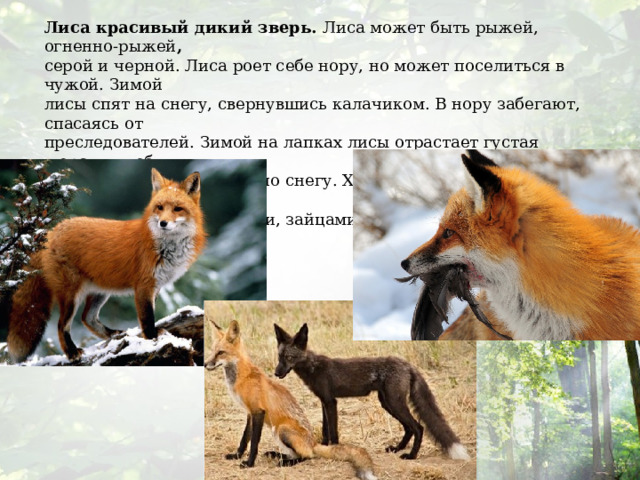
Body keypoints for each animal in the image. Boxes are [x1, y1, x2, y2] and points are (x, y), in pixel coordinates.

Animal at [7, 168, 206, 362]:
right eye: (160, 207)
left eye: (178, 209)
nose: (163, 223)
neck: (166, 247)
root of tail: (51, 231)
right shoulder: (144, 285)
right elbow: (147, 318)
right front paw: (152, 341)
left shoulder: (156, 286)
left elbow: (150, 316)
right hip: (71, 295)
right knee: (61, 325)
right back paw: (72, 352)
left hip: (100, 292)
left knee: (87, 318)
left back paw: (113, 335)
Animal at [205, 320, 377, 480]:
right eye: (212, 351)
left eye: (221, 353)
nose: (206, 364)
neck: (242, 378)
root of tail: (314, 443)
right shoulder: (249, 413)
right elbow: (244, 439)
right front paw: (237, 455)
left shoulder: (258, 412)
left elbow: (253, 442)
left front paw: (249, 463)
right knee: (294, 453)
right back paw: (277, 455)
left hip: (281, 429)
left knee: (306, 456)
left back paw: (285, 462)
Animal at [274, 323, 470, 461]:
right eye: (279, 357)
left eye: (289, 358)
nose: (276, 373)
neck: (313, 368)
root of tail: (408, 365)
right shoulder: (324, 401)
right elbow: (325, 430)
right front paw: (322, 448)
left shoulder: (331, 402)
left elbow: (334, 432)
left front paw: (335, 451)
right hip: (387, 403)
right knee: (409, 428)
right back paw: (397, 449)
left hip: (394, 403)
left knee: (418, 427)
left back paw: (411, 456)